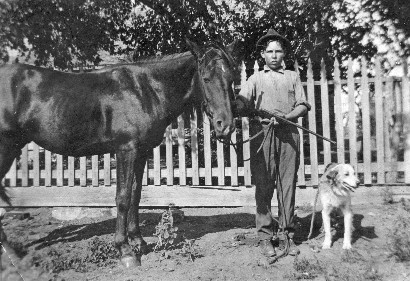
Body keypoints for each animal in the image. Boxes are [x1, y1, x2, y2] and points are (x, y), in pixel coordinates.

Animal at [0, 38, 239, 266]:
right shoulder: (126, 150)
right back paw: (13, 255)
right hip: (6, 148)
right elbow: (123, 197)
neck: (145, 91)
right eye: (206, 78)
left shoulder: (141, 152)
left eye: (231, 79)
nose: (225, 125)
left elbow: (136, 195)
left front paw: (139, 242)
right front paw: (125, 251)